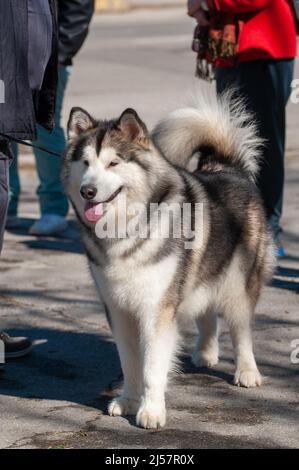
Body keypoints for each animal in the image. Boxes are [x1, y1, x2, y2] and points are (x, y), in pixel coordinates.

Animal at [62, 92, 276, 430]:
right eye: (84, 163)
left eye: (113, 163)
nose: (88, 191)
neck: (125, 229)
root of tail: (229, 168)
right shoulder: (117, 309)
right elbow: (129, 361)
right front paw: (128, 399)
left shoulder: (155, 309)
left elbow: (151, 367)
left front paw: (151, 410)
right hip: (200, 275)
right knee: (207, 312)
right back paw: (205, 353)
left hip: (239, 284)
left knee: (241, 329)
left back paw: (247, 371)